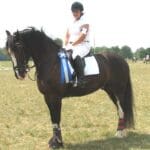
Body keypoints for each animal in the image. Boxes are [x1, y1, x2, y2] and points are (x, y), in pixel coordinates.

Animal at [6, 27, 135, 149]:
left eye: (19, 47)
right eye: (9, 52)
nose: (20, 74)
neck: (51, 61)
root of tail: (121, 59)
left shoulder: (55, 97)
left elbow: (56, 117)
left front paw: (57, 143)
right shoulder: (47, 97)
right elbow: (53, 119)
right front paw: (55, 141)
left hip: (119, 91)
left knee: (122, 109)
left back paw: (120, 133)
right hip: (110, 91)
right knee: (120, 109)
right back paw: (121, 131)